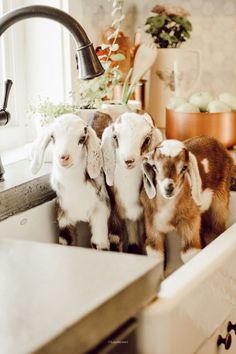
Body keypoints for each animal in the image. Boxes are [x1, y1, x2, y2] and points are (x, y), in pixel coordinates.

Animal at [30, 113, 110, 249]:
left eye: (82, 139)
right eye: (52, 137)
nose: (64, 157)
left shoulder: (101, 212)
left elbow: (99, 242)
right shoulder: (63, 216)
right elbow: (67, 241)